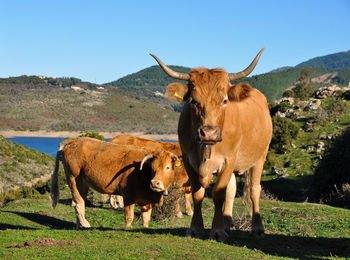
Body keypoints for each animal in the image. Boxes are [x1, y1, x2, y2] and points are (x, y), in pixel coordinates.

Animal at [50, 137, 180, 229]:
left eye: (168, 167)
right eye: (153, 168)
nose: (155, 183)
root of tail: (72, 141)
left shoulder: (147, 202)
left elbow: (146, 219)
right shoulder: (129, 196)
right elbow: (129, 216)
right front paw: (127, 228)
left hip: (83, 183)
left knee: (79, 202)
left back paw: (79, 225)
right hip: (74, 179)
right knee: (78, 203)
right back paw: (85, 224)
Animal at [152, 48, 272, 242]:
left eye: (225, 100)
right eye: (193, 101)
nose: (209, 133)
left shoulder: (228, 159)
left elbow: (218, 193)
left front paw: (217, 230)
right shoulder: (188, 160)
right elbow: (198, 194)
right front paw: (196, 228)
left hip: (260, 156)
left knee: (254, 189)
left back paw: (257, 228)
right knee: (231, 190)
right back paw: (228, 224)